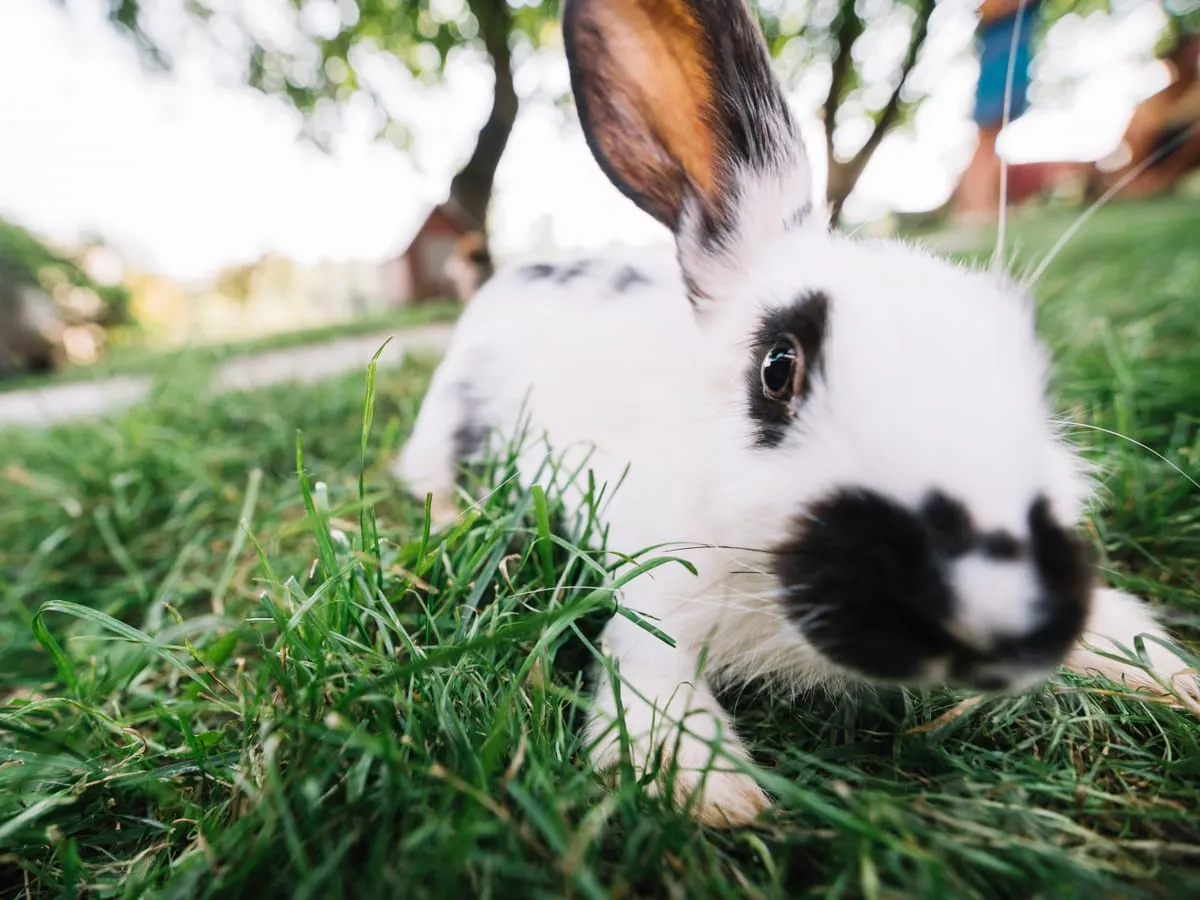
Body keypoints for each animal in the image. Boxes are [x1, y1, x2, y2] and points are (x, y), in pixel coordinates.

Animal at [392, 0, 1199, 827]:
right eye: (778, 369)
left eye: (1033, 366)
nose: (998, 610)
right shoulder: (653, 589)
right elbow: (647, 660)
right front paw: (703, 787)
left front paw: (1167, 673)